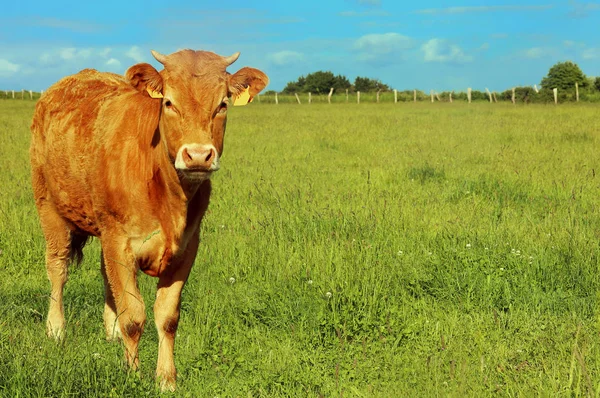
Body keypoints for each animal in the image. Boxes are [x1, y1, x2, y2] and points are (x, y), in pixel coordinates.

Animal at [29, 48, 270, 390]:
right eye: (168, 102)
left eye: (222, 104)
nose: (198, 155)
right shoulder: (120, 241)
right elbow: (133, 316)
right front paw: (132, 374)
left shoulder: (186, 248)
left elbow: (167, 317)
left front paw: (166, 378)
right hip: (50, 207)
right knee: (57, 268)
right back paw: (56, 329)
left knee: (104, 274)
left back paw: (111, 332)